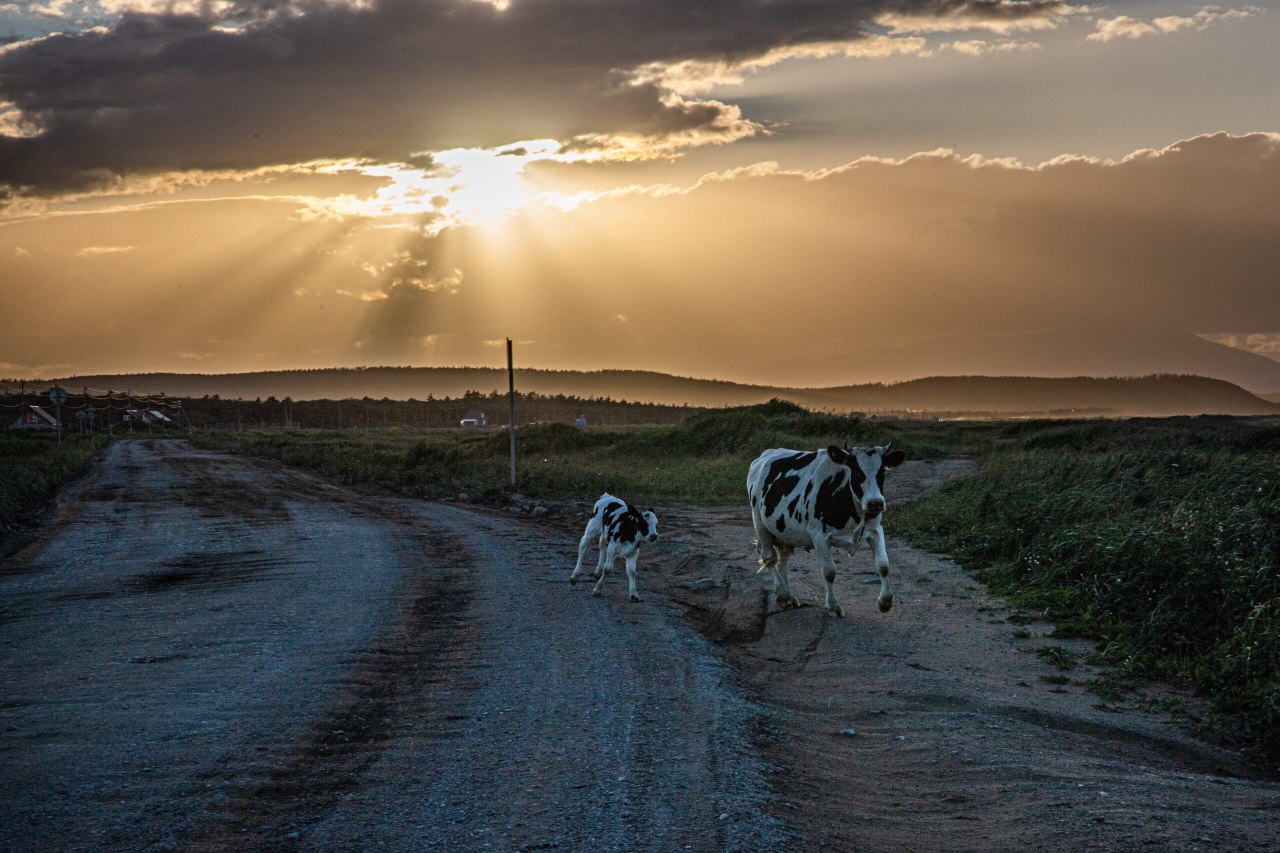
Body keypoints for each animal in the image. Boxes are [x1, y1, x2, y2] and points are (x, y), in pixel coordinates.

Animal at [747, 440, 906, 614]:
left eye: (882, 472)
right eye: (857, 472)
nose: (875, 503)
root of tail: (766, 454)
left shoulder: (876, 530)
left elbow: (883, 565)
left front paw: (885, 602)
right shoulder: (818, 535)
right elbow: (829, 571)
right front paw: (833, 605)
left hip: (785, 530)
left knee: (783, 559)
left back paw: (788, 596)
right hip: (759, 521)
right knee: (769, 557)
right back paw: (783, 594)